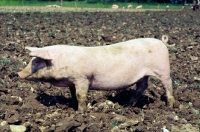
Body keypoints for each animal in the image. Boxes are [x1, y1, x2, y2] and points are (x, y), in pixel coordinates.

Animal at [18, 35, 175, 113]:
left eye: (37, 61)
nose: (19, 73)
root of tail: (162, 42)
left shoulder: (82, 78)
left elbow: (81, 95)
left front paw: (80, 112)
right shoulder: (72, 81)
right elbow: (73, 94)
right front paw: (73, 105)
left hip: (163, 69)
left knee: (168, 85)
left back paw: (170, 106)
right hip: (143, 75)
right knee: (142, 87)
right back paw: (127, 105)